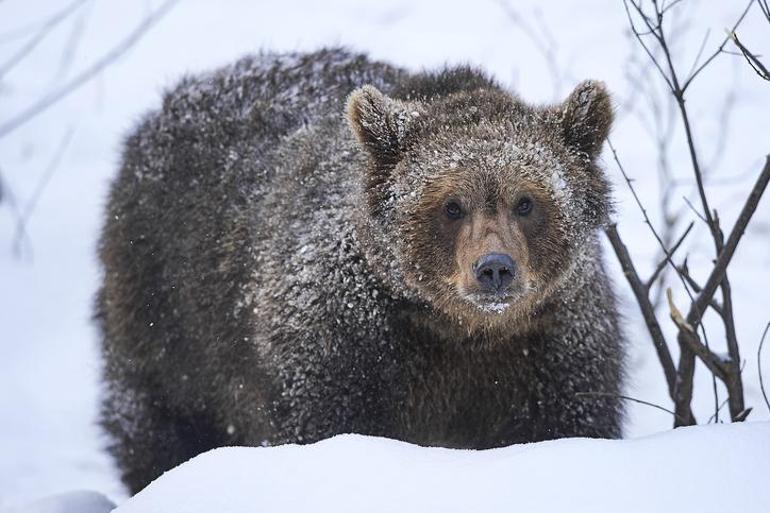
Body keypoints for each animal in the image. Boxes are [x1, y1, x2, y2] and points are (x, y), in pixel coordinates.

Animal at [96, 47, 624, 492]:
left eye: (526, 202)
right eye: (452, 206)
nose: (494, 269)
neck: (462, 333)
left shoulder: (554, 348)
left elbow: (568, 422)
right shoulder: (343, 343)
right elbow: (325, 425)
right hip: (167, 313)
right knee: (155, 416)